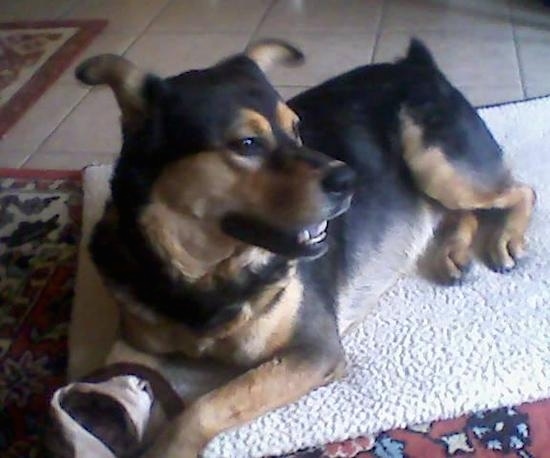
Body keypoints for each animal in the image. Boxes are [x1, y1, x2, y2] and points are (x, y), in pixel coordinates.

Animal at [75, 40, 536, 458]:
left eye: (296, 130)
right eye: (246, 144)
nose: (350, 180)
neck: (206, 276)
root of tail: (414, 63)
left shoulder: (314, 349)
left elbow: (207, 405)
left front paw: (169, 446)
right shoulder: (133, 345)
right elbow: (104, 381)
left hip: (437, 165)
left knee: (517, 191)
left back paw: (506, 238)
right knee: (459, 211)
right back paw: (454, 252)